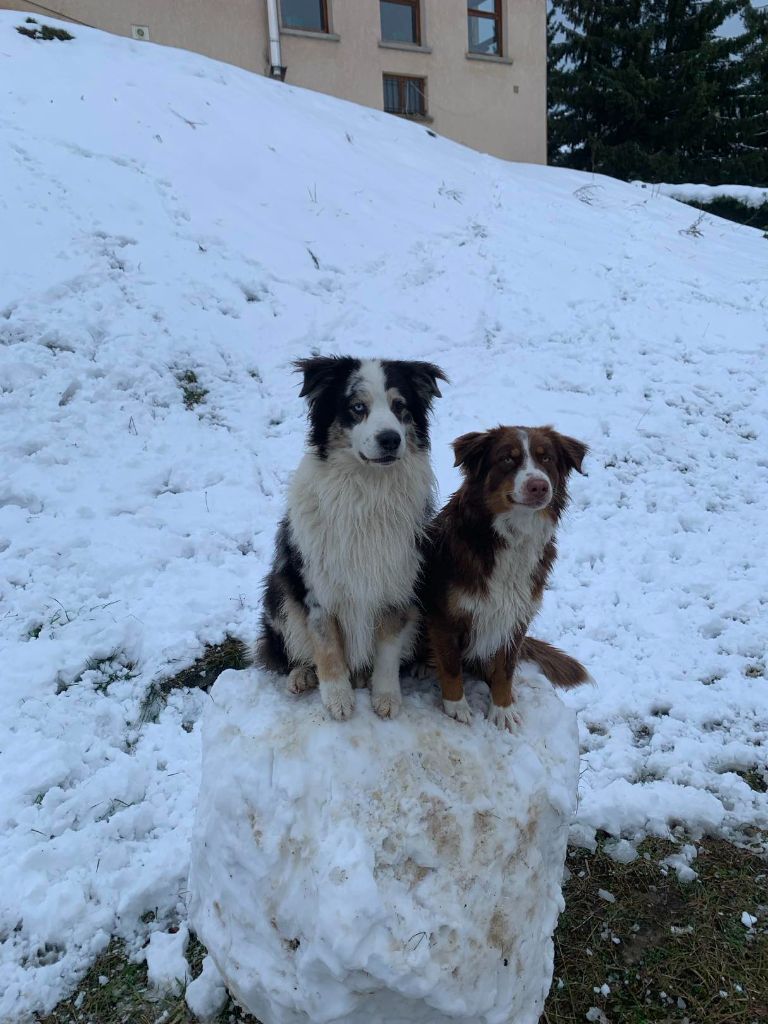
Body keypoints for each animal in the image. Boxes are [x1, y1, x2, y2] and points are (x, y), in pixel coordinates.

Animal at [423, 421, 593, 729]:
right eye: (507, 459)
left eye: (546, 458)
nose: (539, 486)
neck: (513, 536)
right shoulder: (444, 616)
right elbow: (451, 666)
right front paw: (456, 707)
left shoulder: (515, 616)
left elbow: (506, 669)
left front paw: (502, 708)